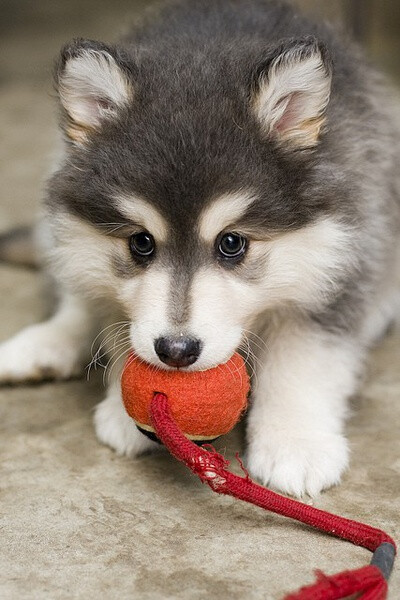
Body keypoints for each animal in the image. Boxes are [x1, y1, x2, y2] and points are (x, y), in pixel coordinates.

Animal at [0, 0, 400, 496]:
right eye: (140, 242)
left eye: (232, 243)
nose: (175, 351)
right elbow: (113, 318)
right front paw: (123, 410)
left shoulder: (340, 262)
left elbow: (301, 360)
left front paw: (295, 443)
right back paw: (42, 345)